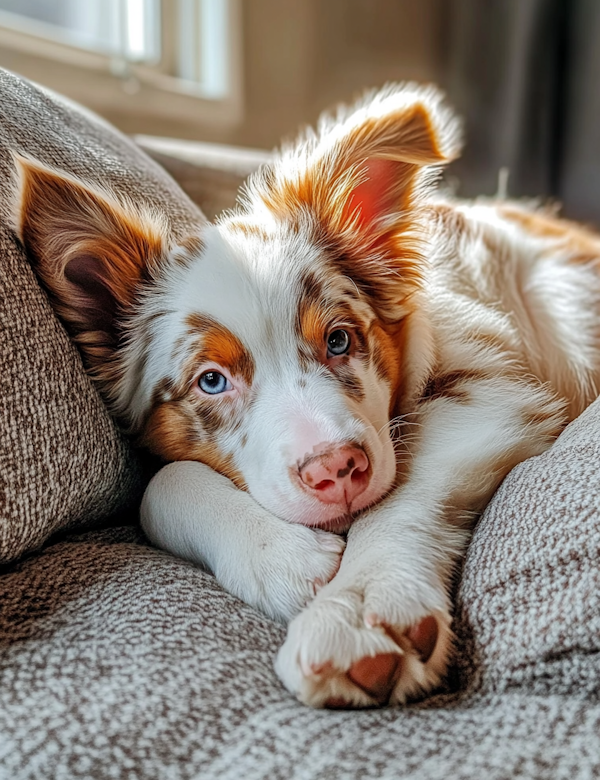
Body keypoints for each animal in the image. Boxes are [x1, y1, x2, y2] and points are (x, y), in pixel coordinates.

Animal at [12, 84, 600, 708]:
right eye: (211, 380)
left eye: (338, 340)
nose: (337, 470)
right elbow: (159, 487)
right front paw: (286, 559)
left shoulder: (495, 388)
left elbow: (400, 494)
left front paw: (359, 609)